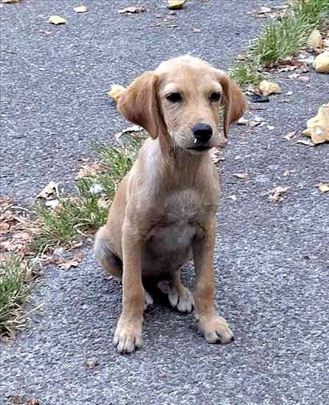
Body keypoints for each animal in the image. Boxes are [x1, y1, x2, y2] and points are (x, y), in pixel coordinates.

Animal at [93, 55, 245, 352]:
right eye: (173, 97)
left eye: (215, 96)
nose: (203, 131)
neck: (182, 174)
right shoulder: (133, 232)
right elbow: (130, 286)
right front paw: (129, 329)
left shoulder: (207, 230)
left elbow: (206, 283)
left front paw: (210, 322)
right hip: (102, 244)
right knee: (131, 277)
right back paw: (148, 295)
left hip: (184, 251)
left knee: (170, 272)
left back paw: (179, 291)